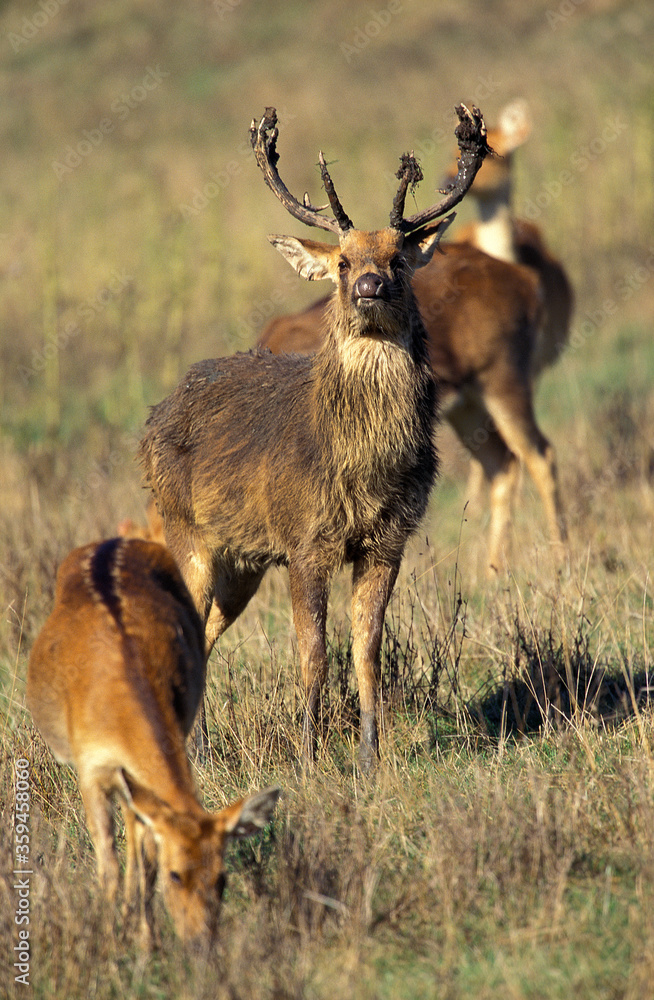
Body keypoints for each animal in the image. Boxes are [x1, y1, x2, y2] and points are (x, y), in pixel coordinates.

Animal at [26, 536, 280, 945]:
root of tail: (113, 539)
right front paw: (111, 941)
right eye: (174, 874)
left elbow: (143, 861)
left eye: (222, 878)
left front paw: (145, 940)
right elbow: (109, 863)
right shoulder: (90, 768)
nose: (201, 941)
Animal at [139, 105, 490, 772]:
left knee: (205, 631)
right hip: (184, 527)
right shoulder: (305, 541)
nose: (369, 286)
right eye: (344, 262)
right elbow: (313, 657)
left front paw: (370, 758)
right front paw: (307, 756)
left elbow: (367, 653)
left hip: (241, 559)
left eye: (399, 258)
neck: (360, 467)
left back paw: (201, 748)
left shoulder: (386, 541)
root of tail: (154, 418)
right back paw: (191, 753)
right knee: (182, 624)